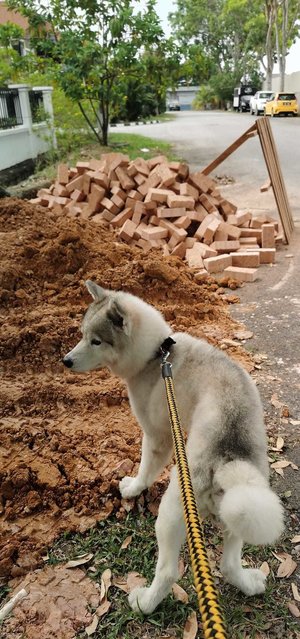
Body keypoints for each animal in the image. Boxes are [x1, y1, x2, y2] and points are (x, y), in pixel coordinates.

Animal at [63, 282, 284, 616]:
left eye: (96, 341)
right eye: (81, 334)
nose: (65, 361)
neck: (157, 355)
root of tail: (227, 454)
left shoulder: (158, 437)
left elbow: (145, 470)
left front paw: (133, 488)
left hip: (172, 512)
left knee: (168, 571)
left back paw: (144, 603)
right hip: (239, 507)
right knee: (229, 564)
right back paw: (249, 584)